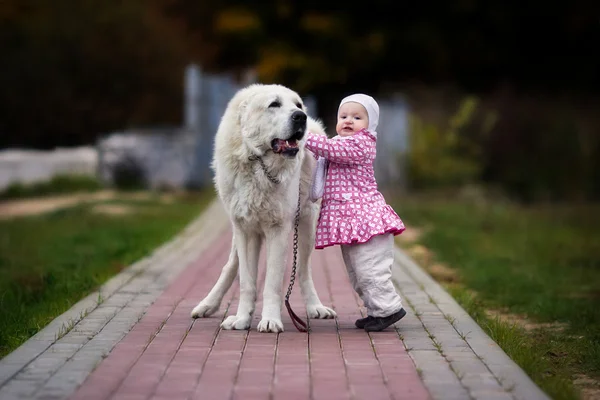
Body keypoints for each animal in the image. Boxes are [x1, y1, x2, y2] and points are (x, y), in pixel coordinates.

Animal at [190, 83, 336, 332]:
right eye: (274, 104)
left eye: (297, 104)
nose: (301, 116)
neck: (258, 163)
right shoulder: (246, 230)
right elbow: (247, 282)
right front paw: (241, 319)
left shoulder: (279, 229)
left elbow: (272, 283)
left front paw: (270, 320)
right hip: (240, 228)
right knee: (231, 265)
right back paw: (207, 304)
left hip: (307, 226)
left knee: (303, 270)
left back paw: (315, 307)